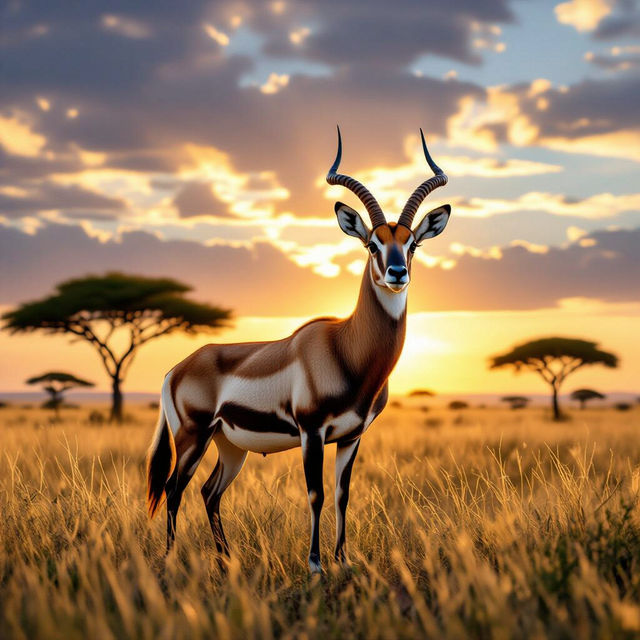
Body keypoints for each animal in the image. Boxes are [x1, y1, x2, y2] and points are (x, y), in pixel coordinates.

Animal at [147, 127, 451, 573]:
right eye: (372, 244)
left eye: (412, 244)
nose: (398, 273)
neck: (346, 350)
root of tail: (176, 369)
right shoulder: (312, 431)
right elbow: (315, 494)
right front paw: (315, 565)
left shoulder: (350, 436)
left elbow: (342, 495)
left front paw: (343, 560)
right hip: (192, 437)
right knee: (173, 488)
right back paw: (170, 560)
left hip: (230, 447)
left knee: (208, 492)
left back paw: (227, 561)